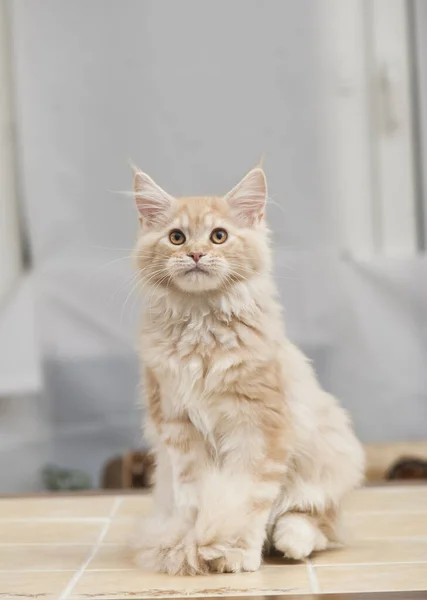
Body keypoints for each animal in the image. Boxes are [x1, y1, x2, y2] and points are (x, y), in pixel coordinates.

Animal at [131, 166, 364, 576]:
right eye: (176, 237)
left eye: (218, 236)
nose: (196, 253)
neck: (201, 323)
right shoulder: (178, 426)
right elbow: (195, 498)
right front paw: (193, 542)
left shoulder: (259, 426)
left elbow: (248, 499)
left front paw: (234, 551)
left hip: (327, 457)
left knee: (318, 519)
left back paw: (291, 541)